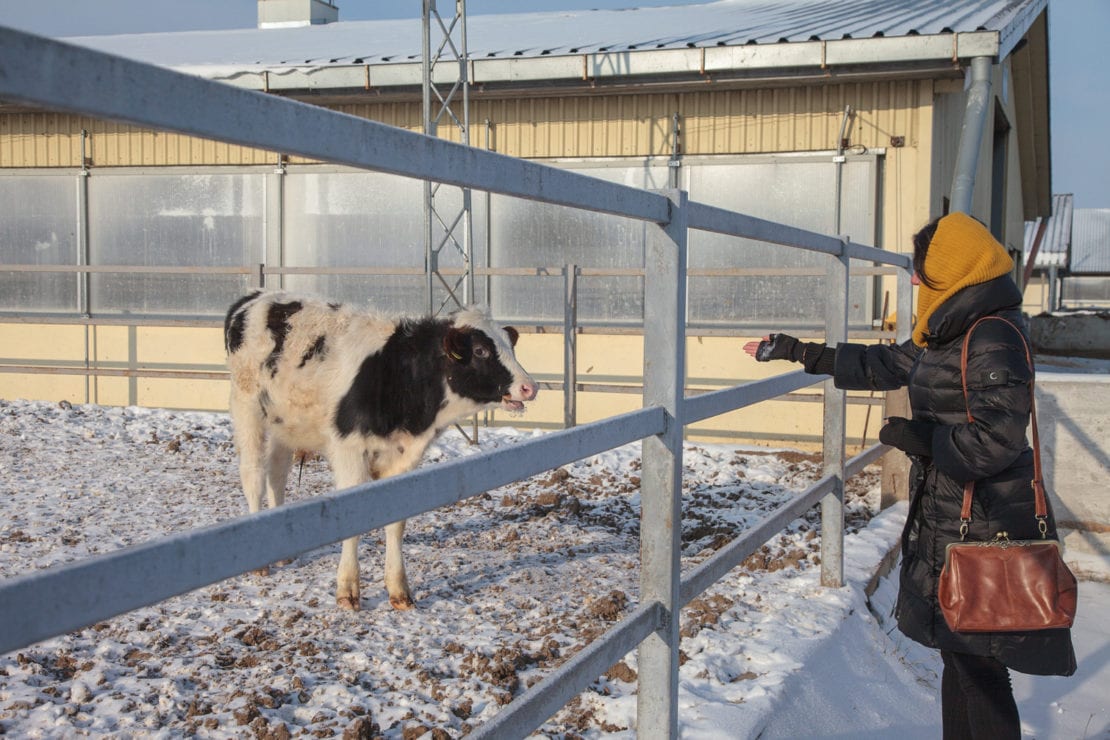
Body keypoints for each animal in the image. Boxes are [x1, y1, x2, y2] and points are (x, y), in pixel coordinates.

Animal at [223, 292, 535, 612]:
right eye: (481, 350)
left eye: (510, 346)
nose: (529, 387)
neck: (398, 373)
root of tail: (257, 297)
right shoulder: (349, 450)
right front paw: (347, 590)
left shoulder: (403, 458)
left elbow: (396, 522)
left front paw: (399, 590)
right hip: (247, 407)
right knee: (253, 476)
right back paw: (259, 561)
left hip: (284, 422)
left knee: (277, 473)